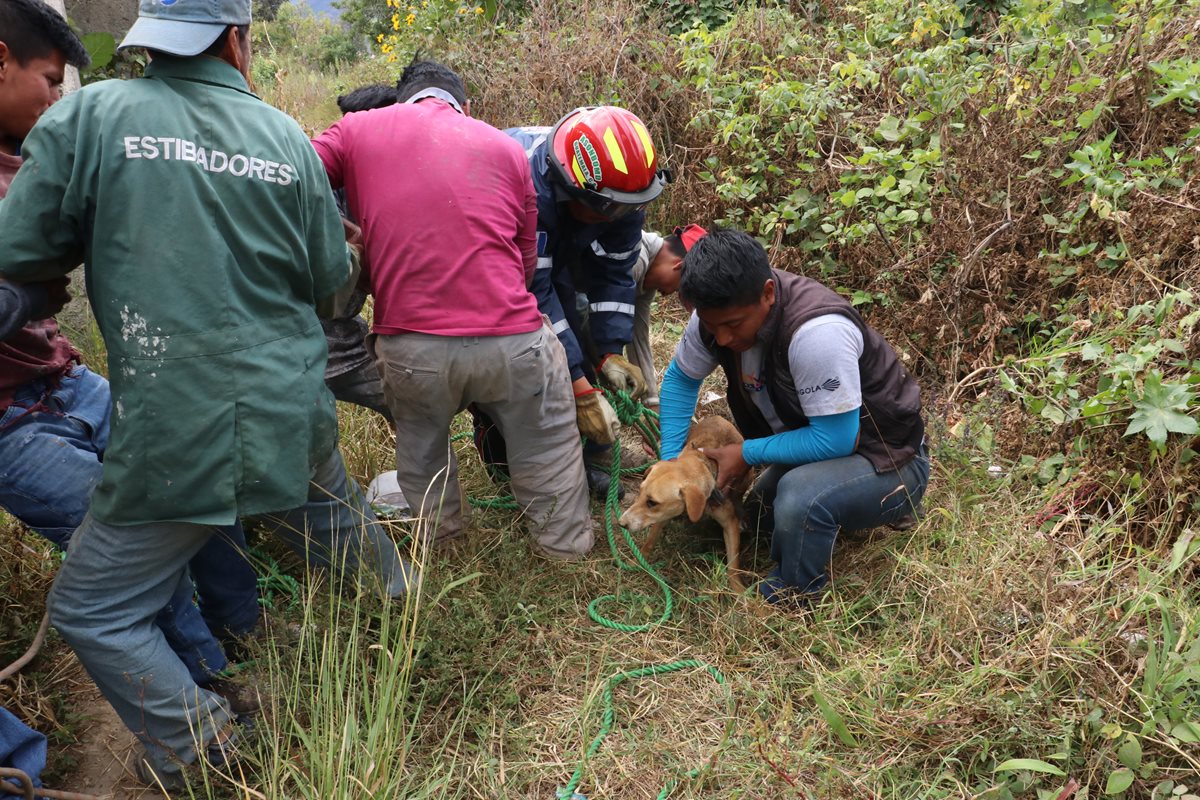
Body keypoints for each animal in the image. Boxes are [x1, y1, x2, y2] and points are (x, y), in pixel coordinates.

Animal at [619, 417, 748, 592]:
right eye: (639, 492)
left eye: (652, 502)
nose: (621, 523)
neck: (701, 462)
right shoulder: (663, 515)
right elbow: (650, 541)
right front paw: (638, 561)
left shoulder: (730, 523)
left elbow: (733, 565)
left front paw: (738, 589)